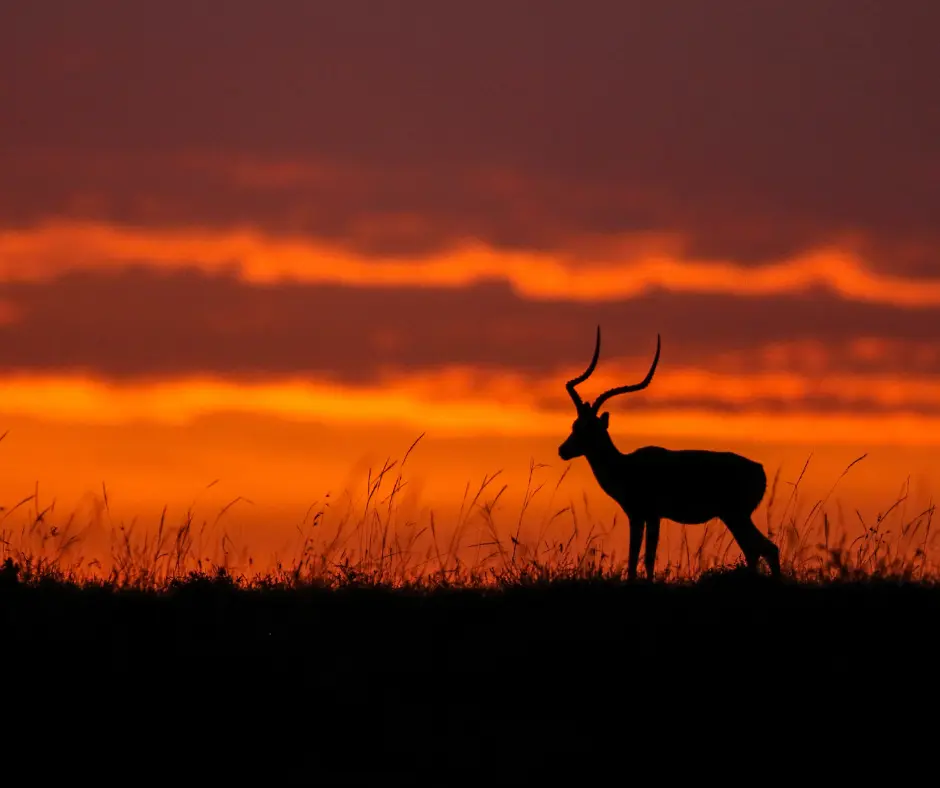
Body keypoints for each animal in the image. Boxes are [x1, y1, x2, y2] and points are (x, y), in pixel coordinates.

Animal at [560, 326, 780, 580]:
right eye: (575, 424)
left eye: (589, 428)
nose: (562, 450)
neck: (625, 466)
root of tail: (760, 469)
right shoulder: (641, 516)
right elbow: (639, 558)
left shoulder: (646, 515)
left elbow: (644, 557)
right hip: (734, 516)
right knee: (757, 550)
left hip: (736, 515)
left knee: (766, 548)